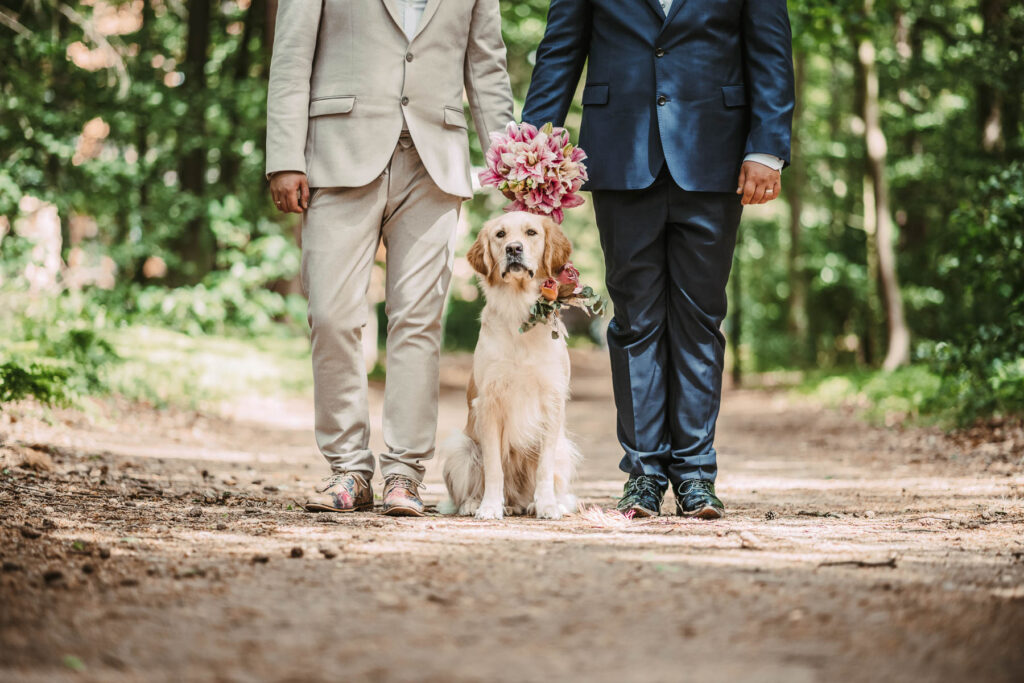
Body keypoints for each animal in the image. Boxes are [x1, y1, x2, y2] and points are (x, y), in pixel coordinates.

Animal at [440, 210, 585, 520]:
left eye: (531, 233)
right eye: (500, 234)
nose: (513, 249)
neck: (520, 317)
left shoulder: (552, 402)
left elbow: (543, 469)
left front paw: (546, 505)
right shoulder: (489, 403)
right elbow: (494, 467)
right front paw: (490, 507)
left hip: (564, 448)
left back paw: (540, 503)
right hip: (462, 447)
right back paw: (477, 503)